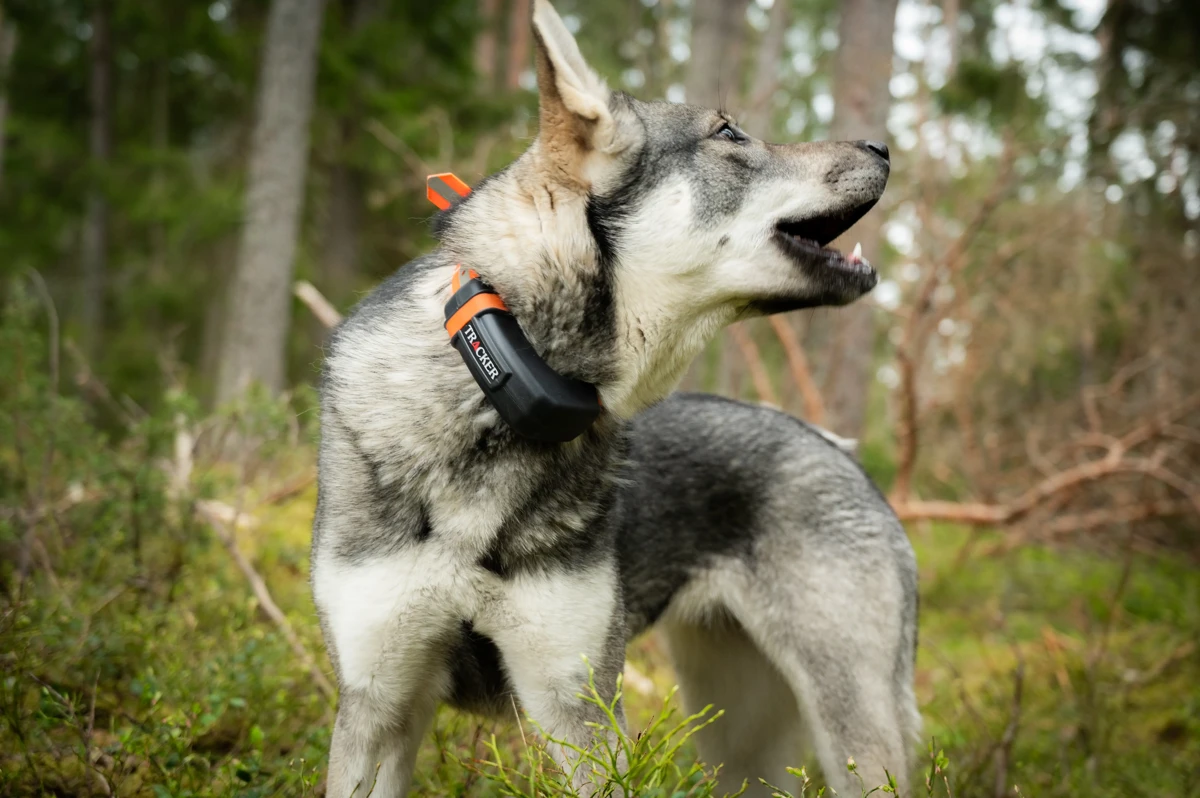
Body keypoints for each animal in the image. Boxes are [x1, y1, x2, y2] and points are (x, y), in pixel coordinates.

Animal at [312, 3, 916, 792]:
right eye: (729, 133)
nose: (884, 145)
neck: (498, 391)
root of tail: (835, 448)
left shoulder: (578, 710)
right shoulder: (377, 705)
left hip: (850, 732)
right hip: (745, 743)